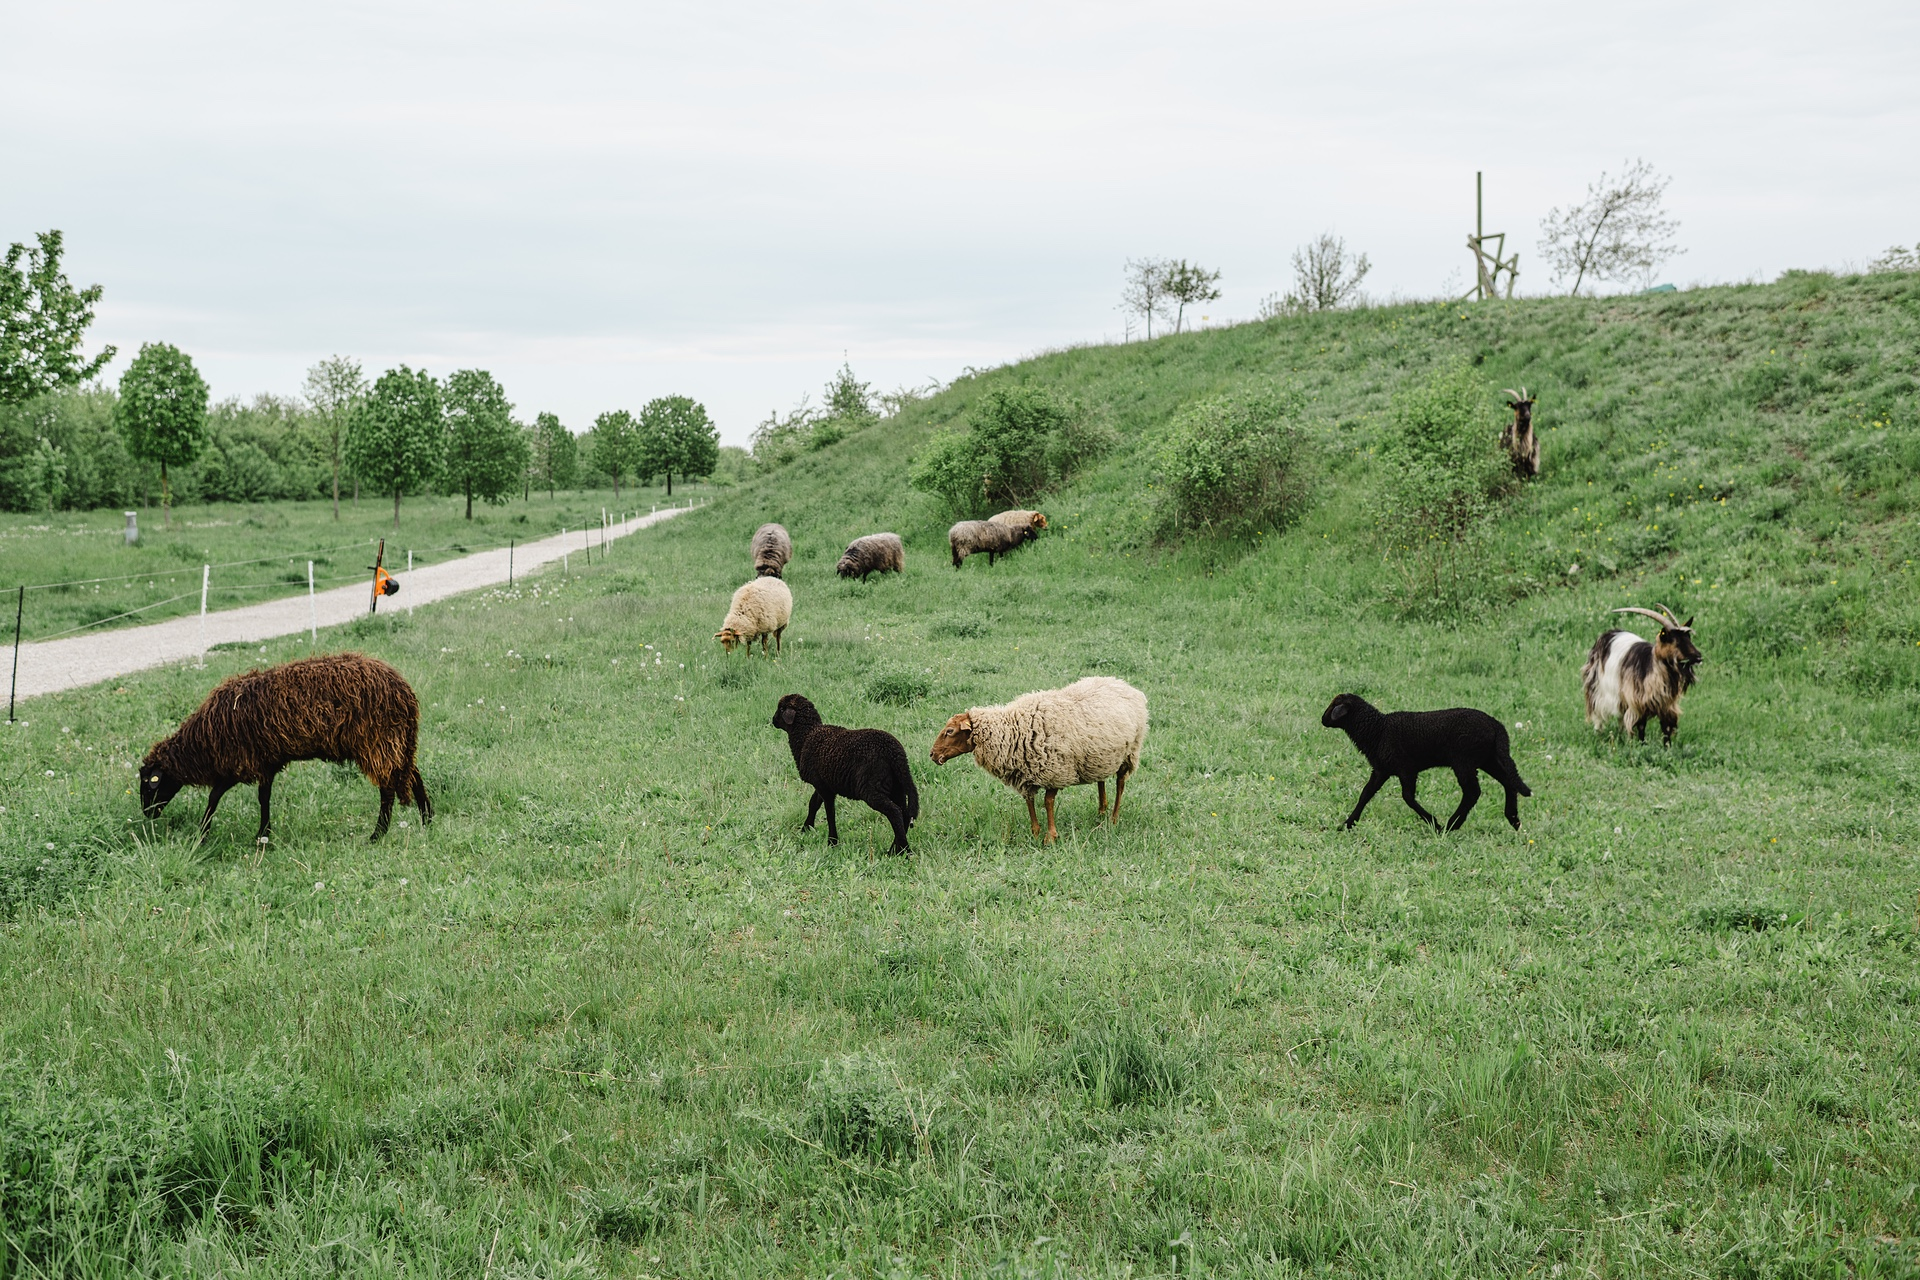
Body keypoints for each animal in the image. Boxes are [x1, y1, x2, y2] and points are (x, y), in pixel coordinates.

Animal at [138, 652, 431, 845]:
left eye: (150, 783)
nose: (147, 814)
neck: (203, 743)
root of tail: (405, 690)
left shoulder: (240, 763)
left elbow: (215, 798)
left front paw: (203, 835)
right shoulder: (265, 762)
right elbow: (263, 797)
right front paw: (264, 834)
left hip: (377, 741)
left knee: (388, 789)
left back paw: (377, 834)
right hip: (394, 741)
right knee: (412, 775)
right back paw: (427, 820)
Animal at [772, 694, 919, 854]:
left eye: (781, 709)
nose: (772, 720)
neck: (807, 735)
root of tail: (896, 754)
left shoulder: (824, 788)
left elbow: (830, 813)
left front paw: (832, 841)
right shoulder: (823, 783)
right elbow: (813, 804)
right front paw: (806, 828)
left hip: (872, 788)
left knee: (895, 812)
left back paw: (903, 850)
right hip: (897, 787)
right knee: (904, 814)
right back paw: (896, 850)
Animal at [929, 676, 1147, 843]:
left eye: (950, 731)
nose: (932, 754)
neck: (1012, 729)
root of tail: (1123, 684)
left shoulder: (1054, 771)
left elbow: (1047, 802)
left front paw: (1050, 837)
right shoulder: (1025, 772)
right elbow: (1029, 801)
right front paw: (1035, 832)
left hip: (1130, 753)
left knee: (1120, 784)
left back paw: (1113, 818)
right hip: (1099, 756)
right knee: (1101, 780)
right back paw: (1102, 810)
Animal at [1320, 692, 1531, 831]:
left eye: (1333, 707)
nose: (1322, 720)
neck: (1377, 730)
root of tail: (1497, 725)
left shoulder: (1406, 769)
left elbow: (1408, 797)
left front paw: (1433, 822)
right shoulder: (1381, 770)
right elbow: (1366, 794)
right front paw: (1347, 824)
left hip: (1464, 761)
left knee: (1473, 792)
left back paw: (1451, 825)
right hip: (1487, 759)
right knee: (1508, 782)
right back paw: (1513, 819)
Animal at [1583, 605, 1703, 744]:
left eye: (1688, 638)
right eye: (1675, 641)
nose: (1699, 657)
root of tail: (1608, 634)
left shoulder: (1665, 705)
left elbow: (1666, 728)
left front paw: (1667, 747)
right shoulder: (1637, 703)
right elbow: (1641, 726)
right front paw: (1642, 745)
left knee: (1620, 717)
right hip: (1597, 688)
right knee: (1598, 714)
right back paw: (1599, 734)